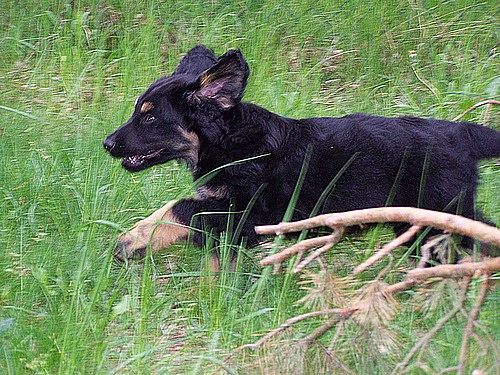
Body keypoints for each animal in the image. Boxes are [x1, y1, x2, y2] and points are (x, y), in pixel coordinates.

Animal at [102, 45, 500, 262]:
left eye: (150, 117)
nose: (107, 144)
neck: (235, 144)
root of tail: (461, 133)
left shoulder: (247, 211)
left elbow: (178, 207)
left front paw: (131, 239)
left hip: (437, 214)